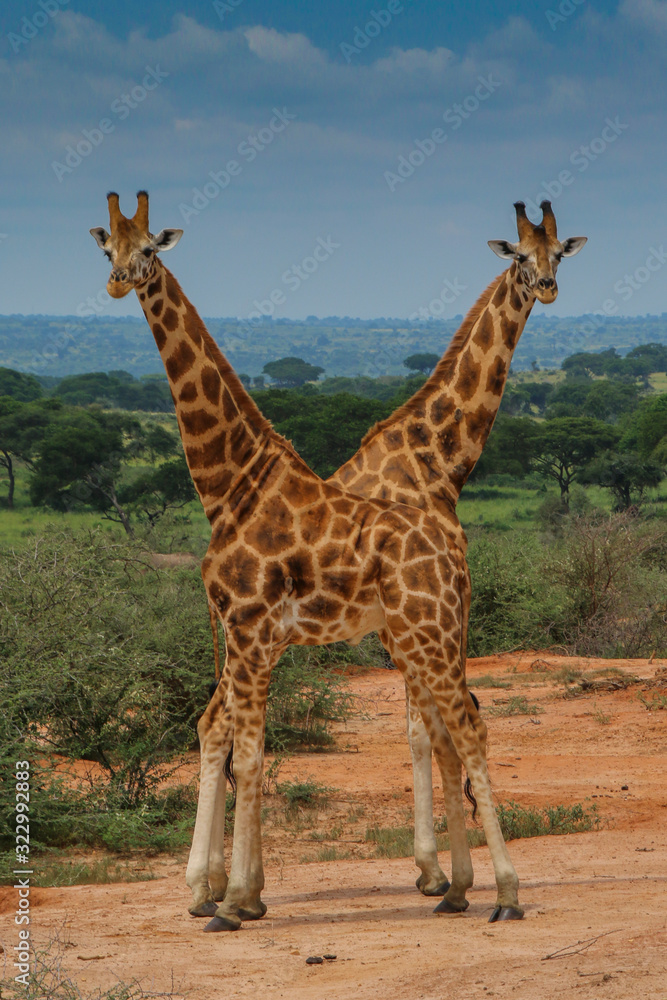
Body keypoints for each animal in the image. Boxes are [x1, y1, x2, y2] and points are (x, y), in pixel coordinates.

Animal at [90, 190, 525, 930]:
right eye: (106, 249)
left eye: (148, 248)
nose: (120, 281)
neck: (232, 482)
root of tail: (448, 544)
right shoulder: (245, 634)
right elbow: (240, 744)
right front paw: (235, 893)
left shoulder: (250, 628)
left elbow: (249, 754)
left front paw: (234, 900)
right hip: (420, 635)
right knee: (446, 728)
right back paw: (463, 887)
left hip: (427, 631)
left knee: (462, 726)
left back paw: (501, 893)